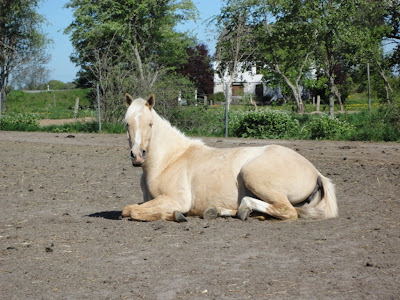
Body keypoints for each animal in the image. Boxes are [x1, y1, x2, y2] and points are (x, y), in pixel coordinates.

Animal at [121, 94, 338, 223]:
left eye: (150, 124)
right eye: (126, 124)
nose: (138, 156)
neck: (168, 161)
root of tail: (315, 172)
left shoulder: (177, 200)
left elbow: (133, 211)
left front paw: (175, 215)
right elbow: (129, 209)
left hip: (253, 176)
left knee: (287, 211)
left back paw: (244, 210)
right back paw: (223, 212)